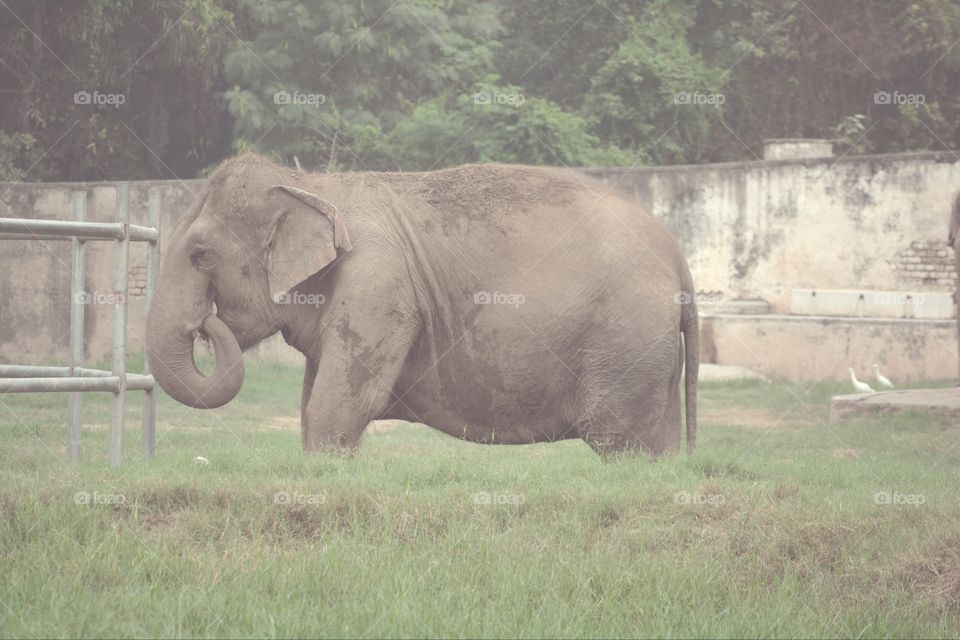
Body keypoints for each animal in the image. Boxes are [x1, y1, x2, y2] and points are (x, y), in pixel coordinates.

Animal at [145, 154, 699, 457]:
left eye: (200, 254)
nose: (204, 324)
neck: (315, 185)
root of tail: (678, 256)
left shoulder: (379, 285)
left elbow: (339, 403)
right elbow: (312, 402)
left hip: (625, 340)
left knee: (620, 442)